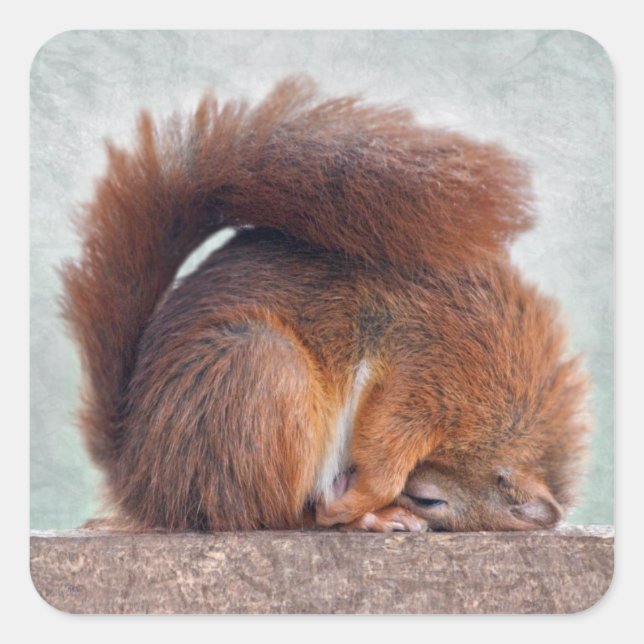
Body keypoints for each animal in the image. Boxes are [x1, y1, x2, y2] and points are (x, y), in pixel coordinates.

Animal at [61, 77, 589, 533]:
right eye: (430, 499)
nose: (413, 500)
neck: (507, 408)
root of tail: (142, 480)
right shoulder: (431, 370)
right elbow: (386, 442)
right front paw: (363, 499)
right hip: (260, 372)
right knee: (275, 516)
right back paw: (361, 516)